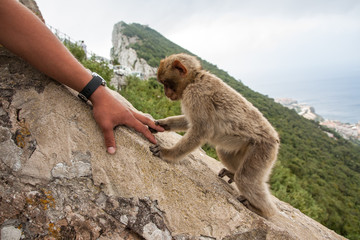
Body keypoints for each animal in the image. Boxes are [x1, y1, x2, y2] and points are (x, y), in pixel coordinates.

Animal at [150, 53, 280, 218]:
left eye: (166, 83)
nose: (166, 93)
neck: (195, 79)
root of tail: (275, 138)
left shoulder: (196, 94)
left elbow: (201, 130)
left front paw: (167, 153)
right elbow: (189, 122)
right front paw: (161, 124)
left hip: (263, 149)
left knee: (245, 179)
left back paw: (263, 210)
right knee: (224, 152)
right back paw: (232, 173)